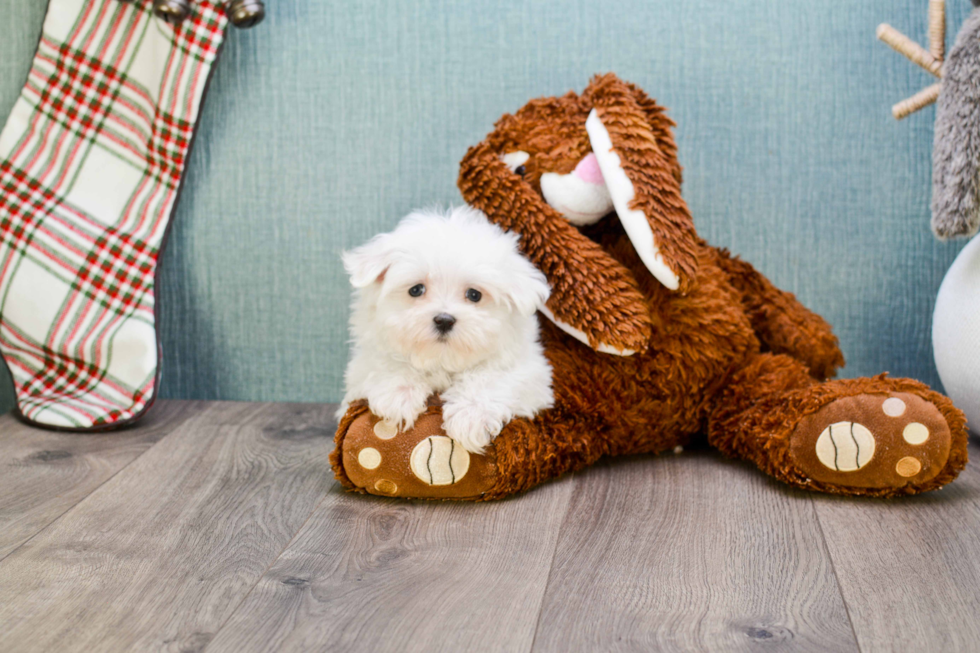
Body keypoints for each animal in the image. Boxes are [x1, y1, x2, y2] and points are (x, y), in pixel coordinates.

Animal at [338, 206, 556, 450]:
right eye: (416, 290)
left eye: (474, 294)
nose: (444, 320)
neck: (442, 360)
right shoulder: (362, 367)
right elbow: (387, 362)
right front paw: (399, 395)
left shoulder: (531, 374)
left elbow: (493, 377)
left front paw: (471, 415)